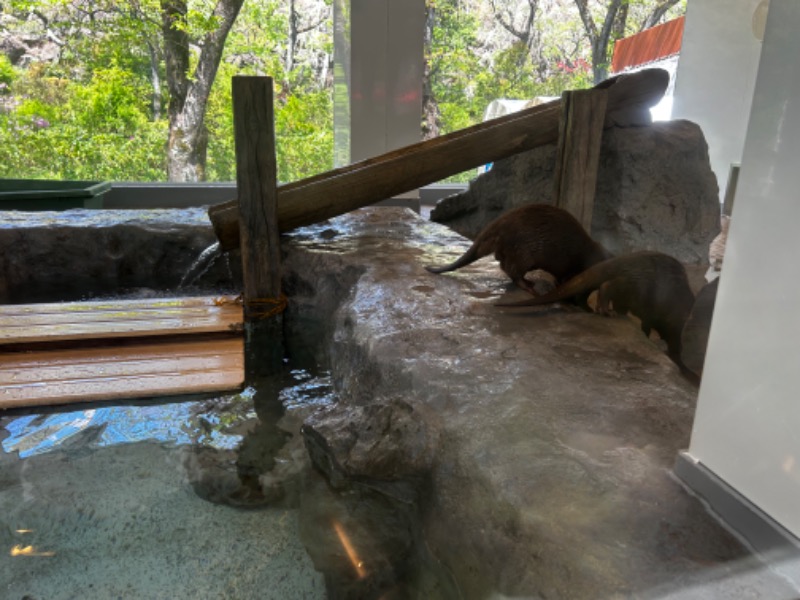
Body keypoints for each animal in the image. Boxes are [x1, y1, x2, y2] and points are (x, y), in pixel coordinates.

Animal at [428, 204, 608, 292]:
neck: (584, 251)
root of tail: (500, 223)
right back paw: (528, 285)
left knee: (502, 263)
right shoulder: (567, 261)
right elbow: (564, 274)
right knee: (512, 270)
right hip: (523, 252)